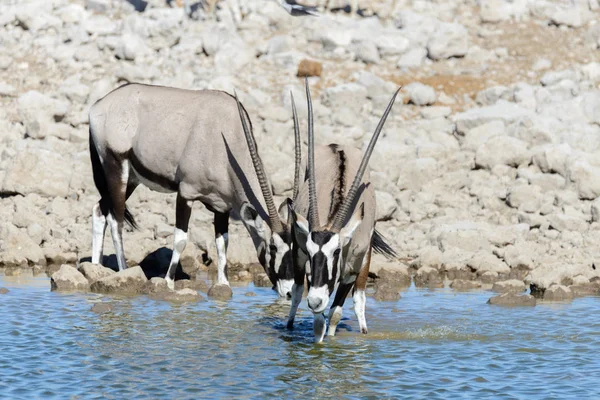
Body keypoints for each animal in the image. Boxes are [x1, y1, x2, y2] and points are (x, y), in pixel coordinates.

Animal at [88, 84, 294, 296]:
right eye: (273, 248)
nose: (289, 292)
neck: (227, 135)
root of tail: (99, 105)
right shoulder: (186, 193)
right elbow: (180, 239)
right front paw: (169, 282)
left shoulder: (222, 206)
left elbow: (222, 243)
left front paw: (223, 285)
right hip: (116, 167)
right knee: (116, 220)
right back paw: (123, 270)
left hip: (131, 179)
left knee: (99, 210)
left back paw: (96, 268)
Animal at [286, 80, 398, 340]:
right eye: (311, 250)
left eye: (336, 251)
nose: (315, 300)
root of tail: (336, 146)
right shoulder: (308, 265)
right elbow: (319, 319)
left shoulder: (354, 268)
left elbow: (336, 312)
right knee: (296, 291)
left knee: (358, 299)